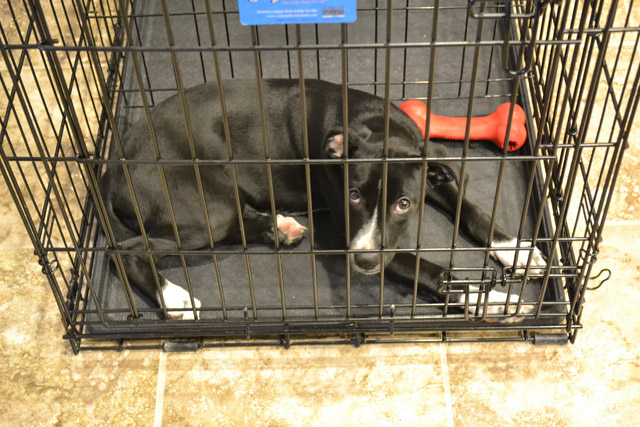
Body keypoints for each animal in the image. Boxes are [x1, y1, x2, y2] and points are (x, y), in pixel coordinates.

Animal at [99, 79, 546, 321]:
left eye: (404, 204)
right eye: (352, 196)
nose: (362, 262)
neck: (375, 124)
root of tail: (111, 168)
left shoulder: (430, 175)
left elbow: (470, 210)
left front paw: (516, 248)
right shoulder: (362, 238)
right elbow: (433, 270)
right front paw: (491, 301)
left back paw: (278, 227)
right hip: (203, 210)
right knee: (124, 250)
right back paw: (174, 298)